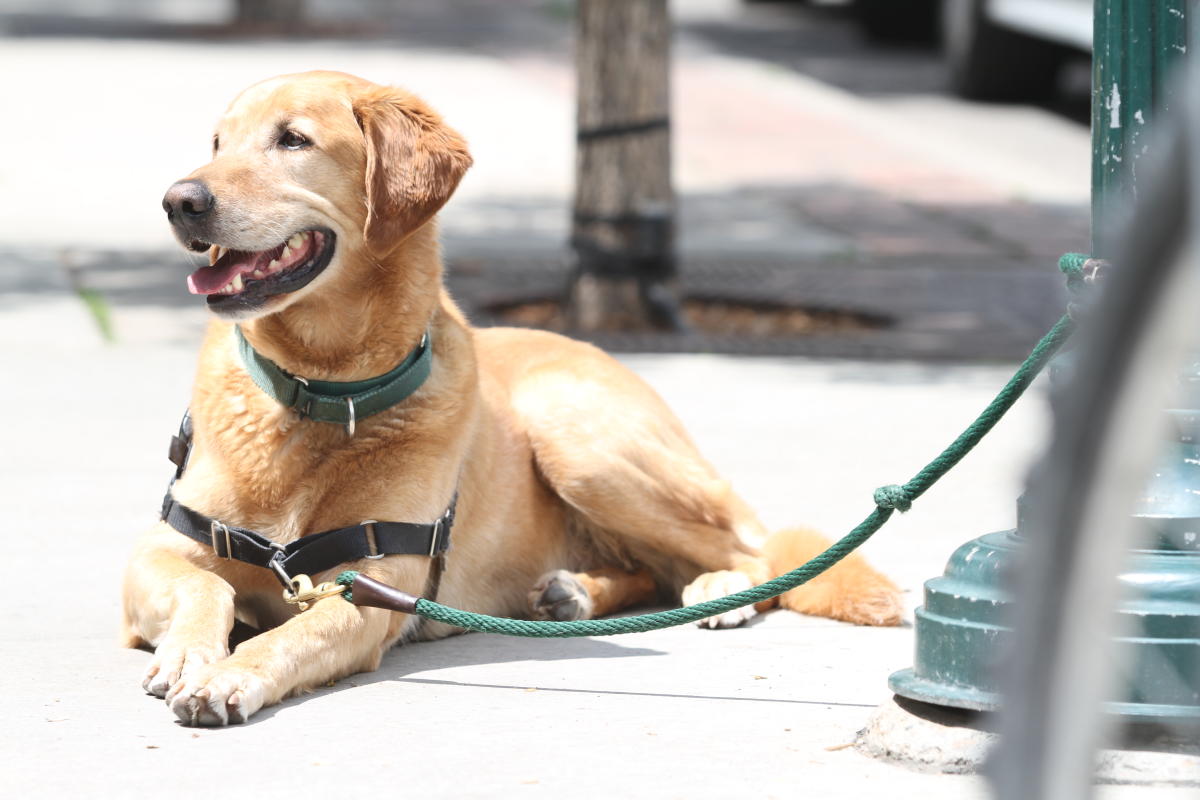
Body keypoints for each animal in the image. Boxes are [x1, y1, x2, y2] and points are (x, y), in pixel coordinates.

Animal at [121, 71, 902, 729]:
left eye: (293, 140)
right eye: (217, 142)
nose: (180, 201)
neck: (318, 394)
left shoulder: (369, 593)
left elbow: (287, 636)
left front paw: (228, 674)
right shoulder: (154, 557)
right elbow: (208, 589)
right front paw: (192, 653)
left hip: (578, 438)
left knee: (755, 556)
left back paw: (715, 591)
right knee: (657, 569)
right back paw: (575, 593)